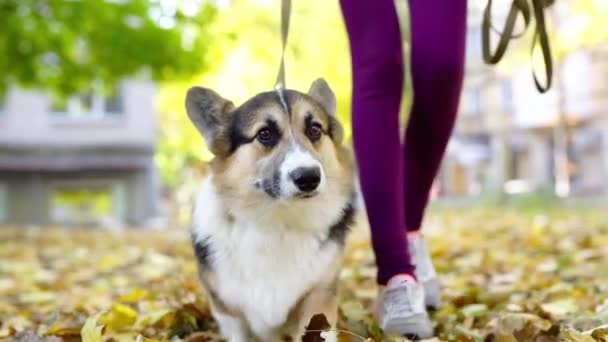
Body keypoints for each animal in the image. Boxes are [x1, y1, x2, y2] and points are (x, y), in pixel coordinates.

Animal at [183, 79, 358, 340]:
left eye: (315, 130)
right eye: (265, 134)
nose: (309, 178)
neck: (279, 220)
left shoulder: (318, 297)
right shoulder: (230, 313)